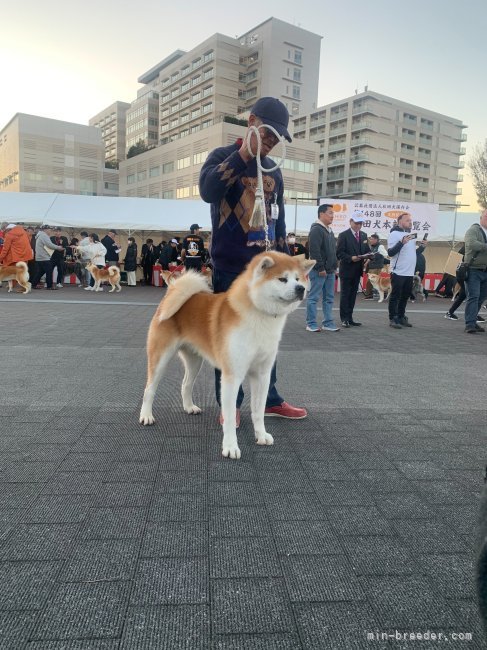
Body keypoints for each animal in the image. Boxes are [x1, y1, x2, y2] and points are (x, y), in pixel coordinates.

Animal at [139, 251, 314, 458]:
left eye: (298, 279)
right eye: (282, 279)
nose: (301, 289)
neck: (259, 316)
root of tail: (171, 293)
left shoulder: (262, 375)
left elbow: (258, 411)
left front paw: (261, 435)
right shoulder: (232, 376)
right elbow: (229, 417)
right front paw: (230, 447)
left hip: (194, 361)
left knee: (185, 384)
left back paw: (189, 407)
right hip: (161, 358)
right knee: (149, 389)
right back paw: (146, 416)